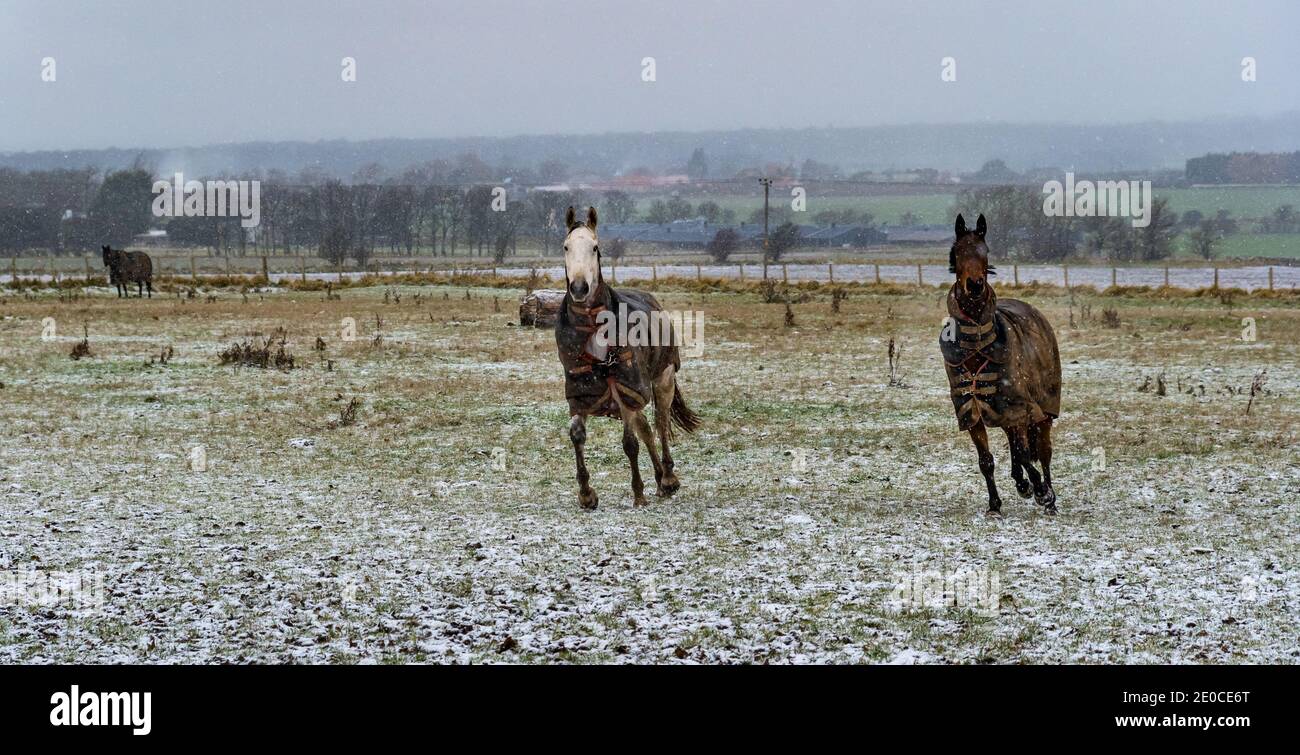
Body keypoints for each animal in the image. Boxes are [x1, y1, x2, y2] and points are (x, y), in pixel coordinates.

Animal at [556, 205, 701, 509]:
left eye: (595, 247)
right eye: (566, 246)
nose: (579, 288)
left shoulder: (625, 392)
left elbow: (629, 443)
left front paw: (638, 493)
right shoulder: (580, 394)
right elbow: (577, 435)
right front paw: (586, 494)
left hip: (662, 380)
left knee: (660, 424)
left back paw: (668, 479)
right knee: (647, 428)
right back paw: (659, 479)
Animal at [940, 214, 1062, 516]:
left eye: (985, 252)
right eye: (957, 252)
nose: (974, 285)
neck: (977, 347)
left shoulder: (1017, 406)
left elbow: (1025, 453)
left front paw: (1040, 491)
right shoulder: (972, 411)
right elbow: (987, 460)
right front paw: (995, 505)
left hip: (1043, 410)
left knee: (1043, 451)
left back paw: (1049, 497)